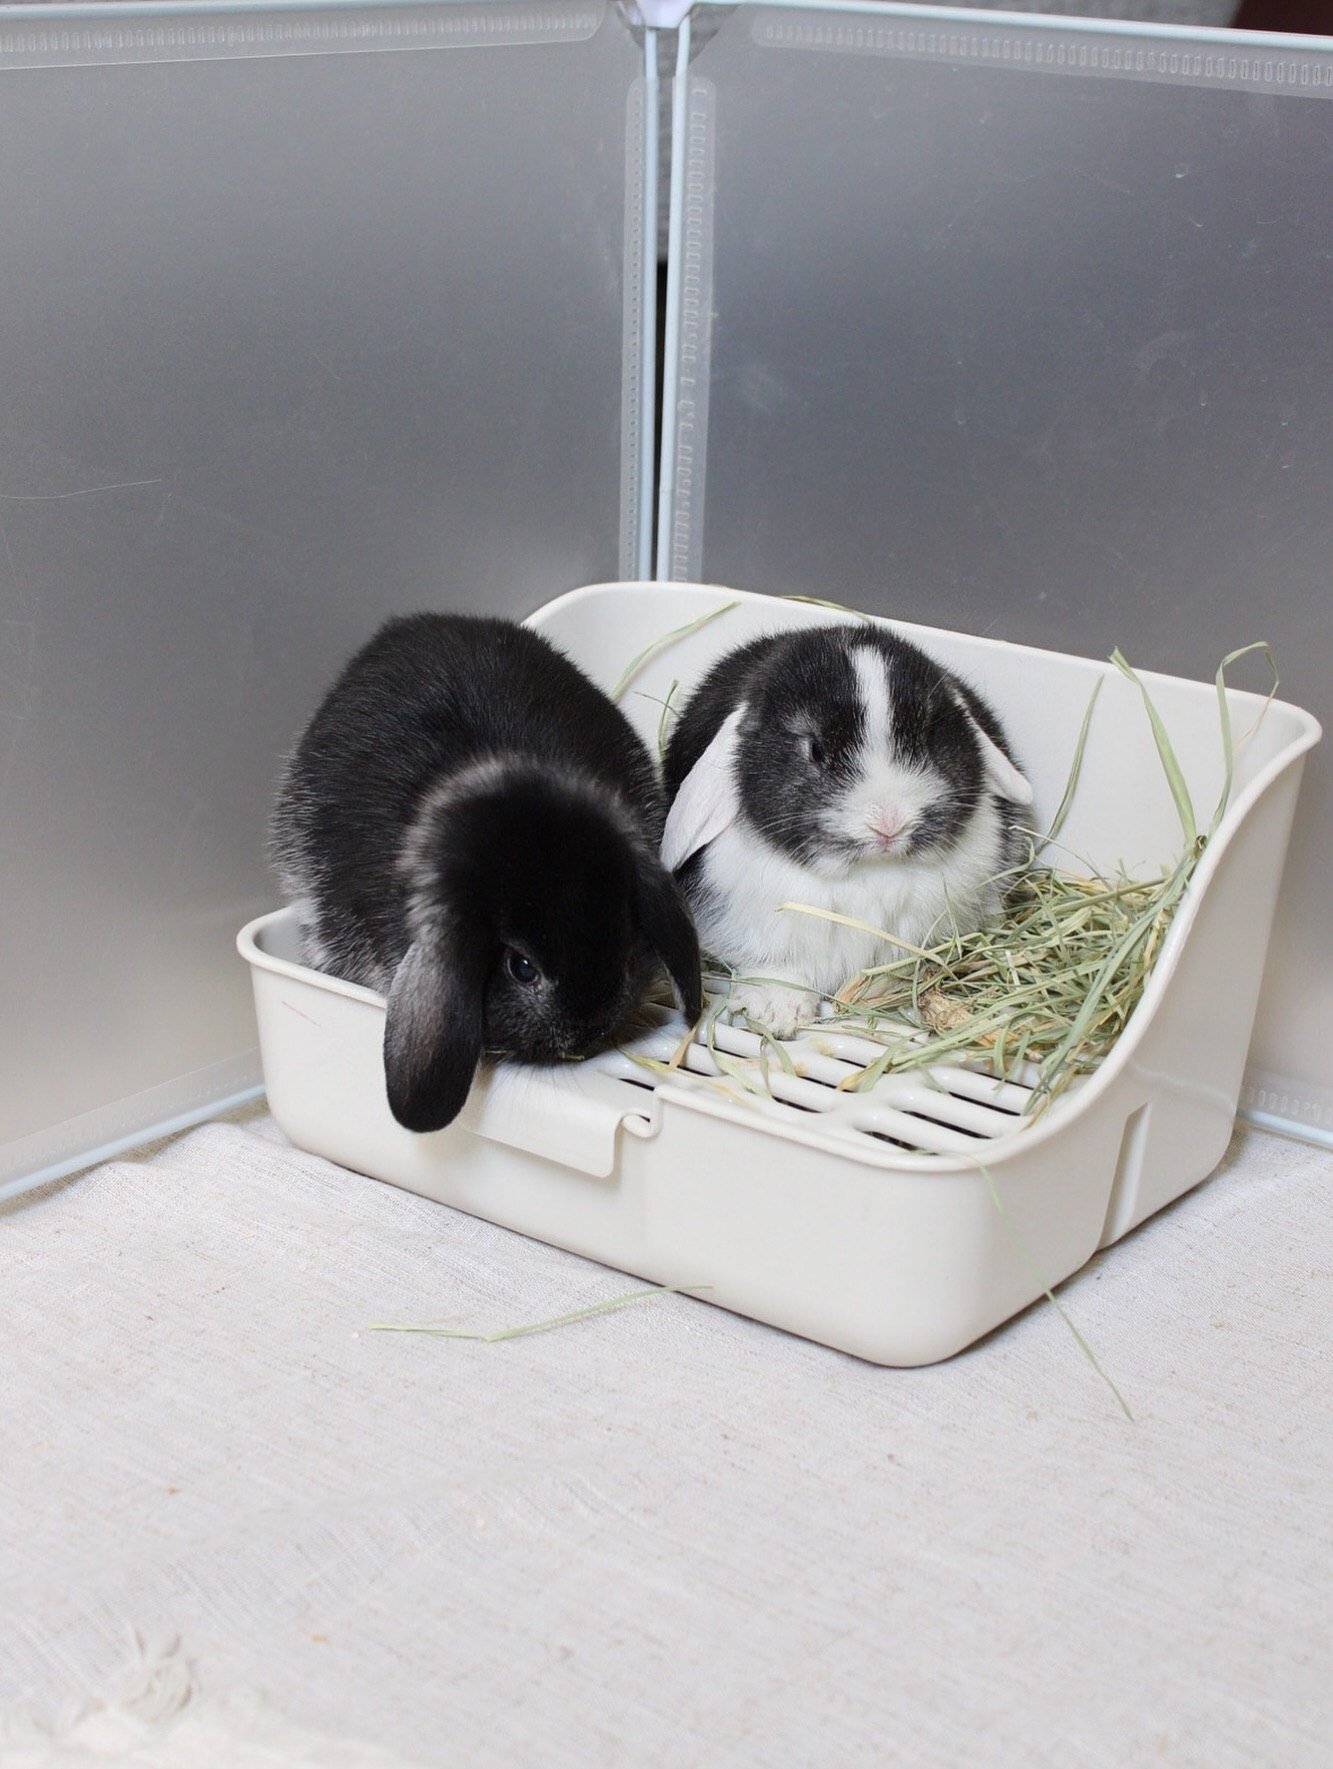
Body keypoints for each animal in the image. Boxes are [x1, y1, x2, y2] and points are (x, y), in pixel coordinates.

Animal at [661, 622, 1033, 1036]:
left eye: (926, 739)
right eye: (816, 749)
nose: (889, 822)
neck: (868, 874)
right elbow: (777, 968)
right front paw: (776, 1015)